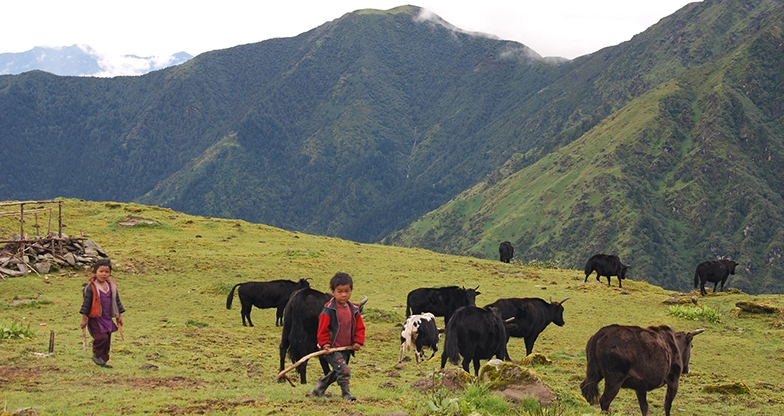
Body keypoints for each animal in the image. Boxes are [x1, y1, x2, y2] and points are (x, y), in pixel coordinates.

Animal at [580, 324, 708, 416]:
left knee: (585, 389)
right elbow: (667, 405)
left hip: (594, 372)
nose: (687, 369)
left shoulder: (640, 386)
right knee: (604, 400)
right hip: (614, 379)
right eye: (691, 346)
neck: (675, 344)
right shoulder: (673, 381)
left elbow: (644, 407)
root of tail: (601, 333)